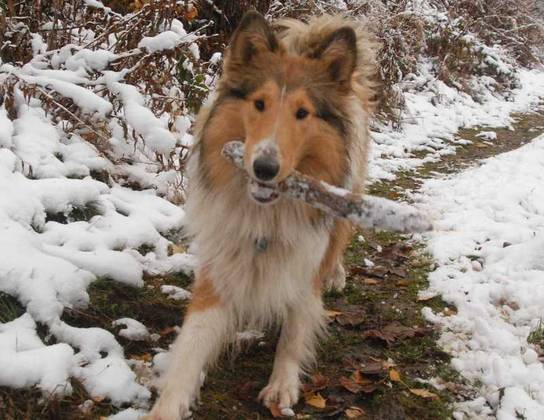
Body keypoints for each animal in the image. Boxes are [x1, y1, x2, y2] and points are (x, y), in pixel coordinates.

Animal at [146, 11, 377, 419]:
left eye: (302, 113)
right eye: (259, 104)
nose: (264, 168)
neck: (267, 214)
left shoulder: (305, 265)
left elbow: (294, 331)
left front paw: (282, 384)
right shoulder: (220, 267)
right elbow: (191, 344)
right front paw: (168, 405)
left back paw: (336, 274)